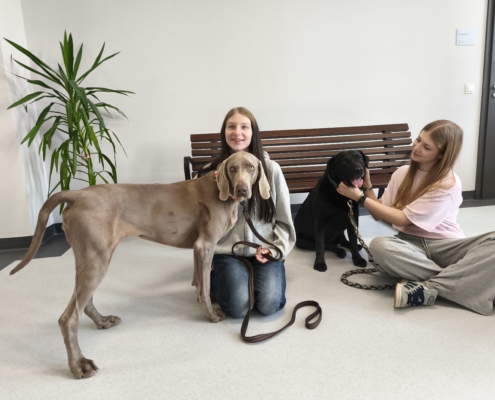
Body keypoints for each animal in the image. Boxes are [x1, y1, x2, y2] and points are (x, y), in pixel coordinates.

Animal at [10, 151, 270, 379]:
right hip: (97, 258)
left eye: (251, 168)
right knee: (68, 317)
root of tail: (78, 194)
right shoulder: (205, 245)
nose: (242, 189)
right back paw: (79, 365)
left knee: (84, 302)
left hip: (90, 257)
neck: (220, 191)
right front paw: (211, 314)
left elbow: (199, 281)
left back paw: (102, 321)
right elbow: (205, 285)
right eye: (233, 168)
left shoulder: (198, 248)